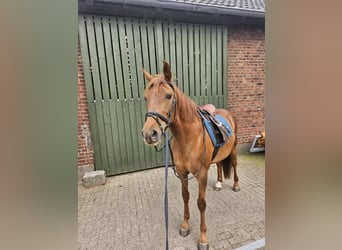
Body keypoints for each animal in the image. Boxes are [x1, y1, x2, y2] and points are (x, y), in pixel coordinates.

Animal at [140, 60, 239, 250]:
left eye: (168, 96)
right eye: (145, 98)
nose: (150, 134)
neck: (188, 137)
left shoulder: (201, 174)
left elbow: (201, 203)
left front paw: (203, 238)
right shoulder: (182, 173)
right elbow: (185, 197)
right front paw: (185, 226)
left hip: (235, 150)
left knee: (235, 166)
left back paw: (236, 185)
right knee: (219, 164)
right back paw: (218, 184)